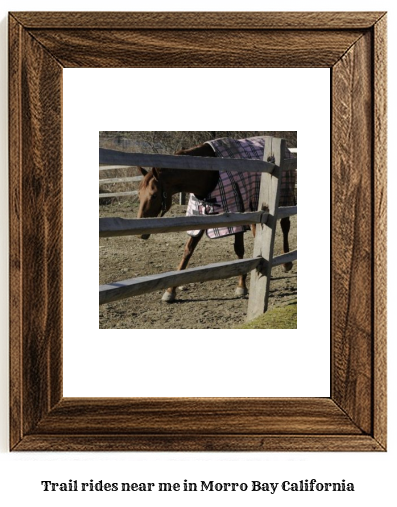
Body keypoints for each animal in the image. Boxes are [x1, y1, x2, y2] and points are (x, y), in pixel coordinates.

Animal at [138, 140, 292, 302]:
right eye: (139, 194)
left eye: (154, 195)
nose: (142, 233)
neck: (209, 172)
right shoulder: (199, 216)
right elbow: (188, 250)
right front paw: (170, 291)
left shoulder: (237, 217)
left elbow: (239, 249)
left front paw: (241, 286)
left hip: (284, 200)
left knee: (285, 226)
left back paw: (286, 264)